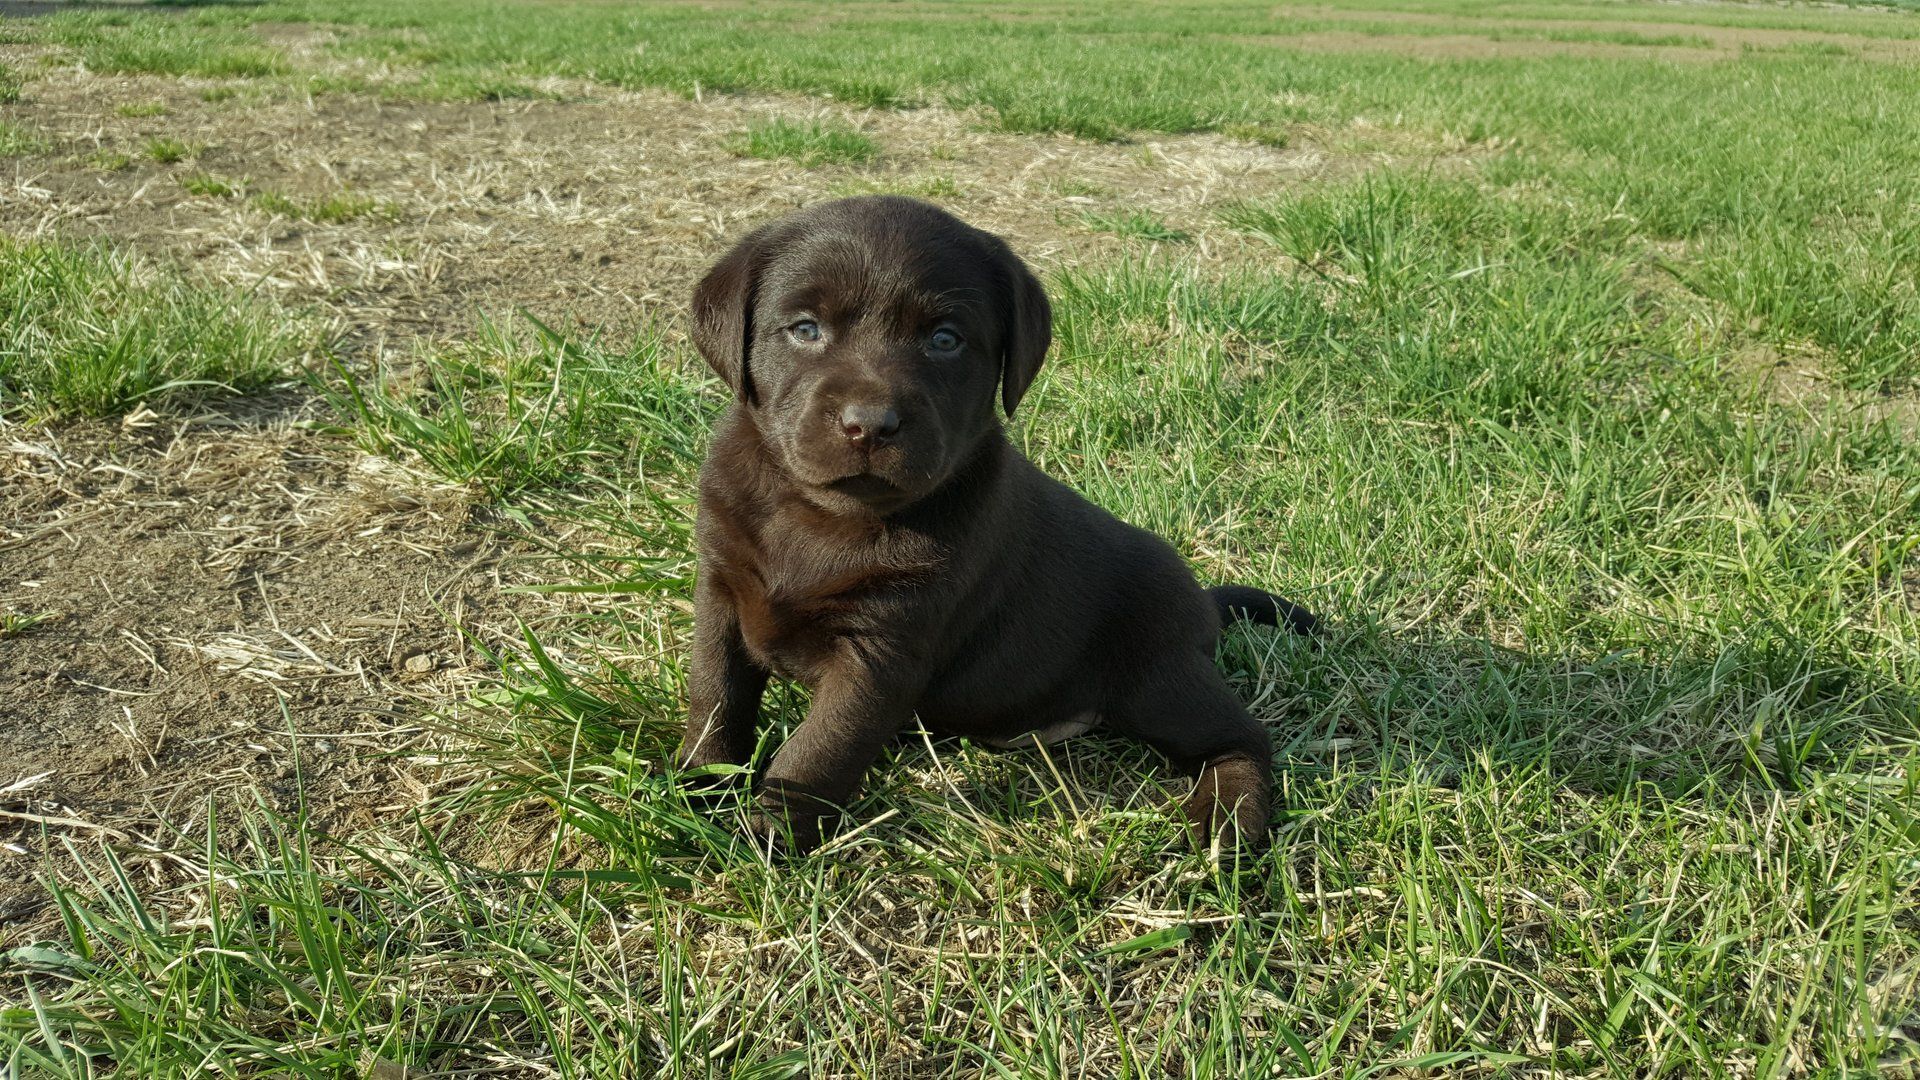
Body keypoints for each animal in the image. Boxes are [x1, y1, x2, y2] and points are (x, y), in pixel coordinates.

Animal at [676, 195, 1317, 853]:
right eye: (805, 329)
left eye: (945, 339)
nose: (870, 423)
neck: (822, 516)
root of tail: (1204, 603)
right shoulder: (722, 592)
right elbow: (715, 696)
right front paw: (697, 783)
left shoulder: (881, 648)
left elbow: (822, 745)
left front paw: (770, 834)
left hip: (1158, 677)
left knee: (1243, 736)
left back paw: (1228, 816)